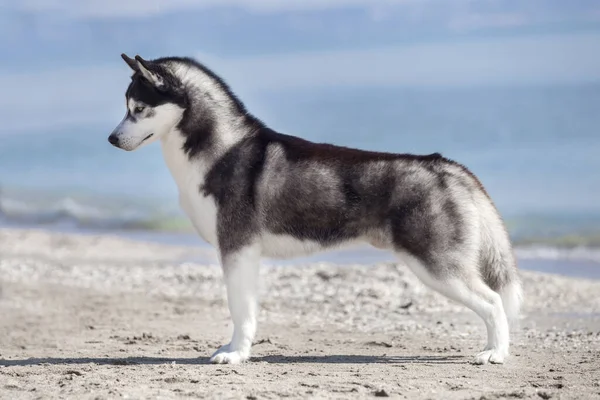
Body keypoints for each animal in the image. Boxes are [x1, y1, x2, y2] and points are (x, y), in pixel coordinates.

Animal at [108, 53, 520, 366]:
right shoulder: (244, 254)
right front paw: (236, 349)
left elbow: (239, 309)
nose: (111, 139)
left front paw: (236, 354)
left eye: (139, 109)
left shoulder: (237, 248)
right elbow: (246, 309)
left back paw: (496, 353)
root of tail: (448, 166)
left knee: (494, 302)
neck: (221, 149)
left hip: (436, 264)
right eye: (127, 108)